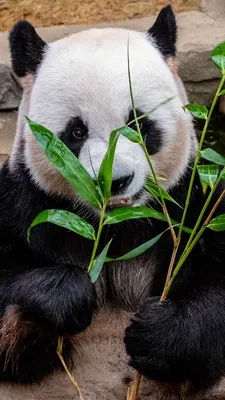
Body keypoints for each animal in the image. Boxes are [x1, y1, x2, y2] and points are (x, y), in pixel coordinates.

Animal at [0, 5, 225, 400]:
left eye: (138, 122)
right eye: (76, 131)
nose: (114, 181)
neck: (117, 225)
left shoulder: (194, 199)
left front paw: (158, 335)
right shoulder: (24, 201)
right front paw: (68, 294)